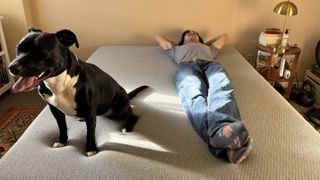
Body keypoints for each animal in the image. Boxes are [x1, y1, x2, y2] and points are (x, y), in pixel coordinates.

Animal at [8, 28, 148, 156]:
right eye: (18, 49)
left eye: (40, 52)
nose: (11, 67)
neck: (60, 82)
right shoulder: (55, 109)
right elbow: (62, 126)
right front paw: (62, 141)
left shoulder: (90, 111)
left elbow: (90, 132)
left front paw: (91, 148)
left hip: (120, 106)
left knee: (134, 116)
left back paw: (127, 127)